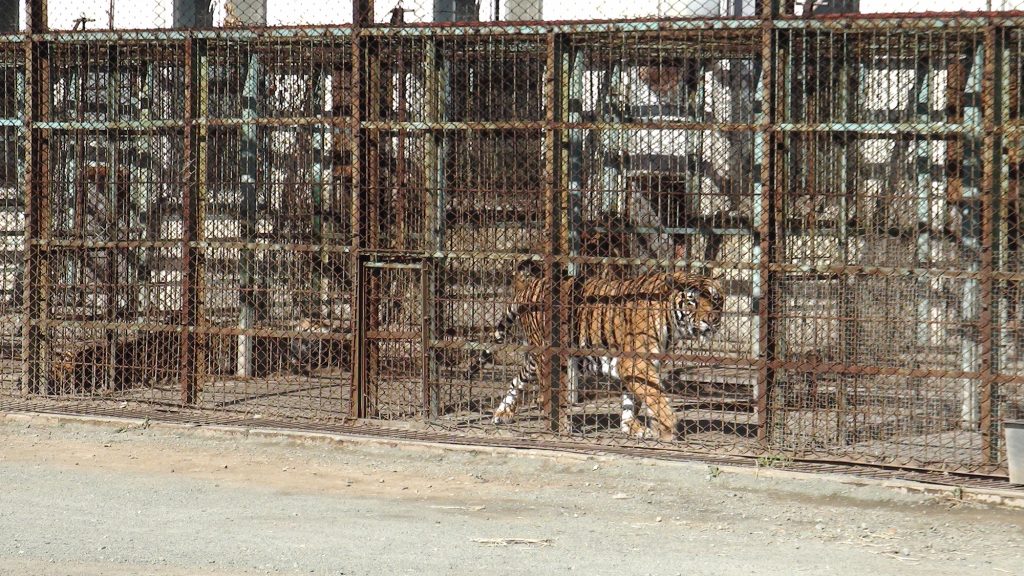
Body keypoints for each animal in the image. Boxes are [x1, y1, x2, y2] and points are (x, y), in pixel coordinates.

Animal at [468, 261, 724, 438]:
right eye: (692, 301)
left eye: (716, 299)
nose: (712, 320)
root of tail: (529, 285)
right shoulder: (636, 361)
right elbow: (655, 396)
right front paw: (668, 428)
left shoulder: (642, 363)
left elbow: (634, 399)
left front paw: (633, 428)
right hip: (551, 357)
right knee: (550, 394)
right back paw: (561, 427)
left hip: (535, 356)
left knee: (517, 379)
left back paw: (502, 414)